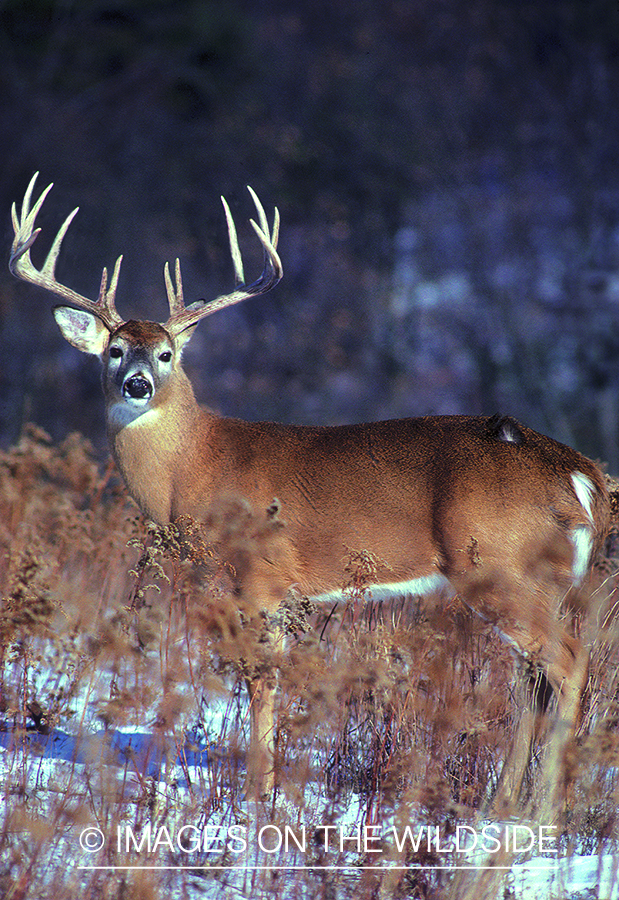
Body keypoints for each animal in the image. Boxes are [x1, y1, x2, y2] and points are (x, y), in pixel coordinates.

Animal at [8, 172, 612, 804]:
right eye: (115, 349)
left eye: (167, 353)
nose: (137, 383)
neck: (195, 466)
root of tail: (584, 476)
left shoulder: (260, 575)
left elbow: (260, 683)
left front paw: (257, 792)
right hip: (533, 581)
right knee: (532, 679)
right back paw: (504, 802)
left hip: (498, 566)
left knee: (568, 662)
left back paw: (542, 810)